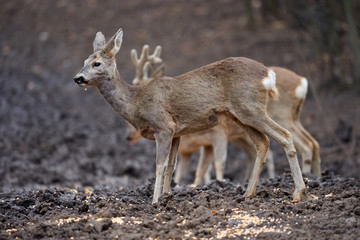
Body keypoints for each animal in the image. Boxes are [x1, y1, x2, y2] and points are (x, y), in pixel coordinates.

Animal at [74, 28, 306, 204]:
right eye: (84, 60)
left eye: (96, 63)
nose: (78, 77)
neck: (137, 102)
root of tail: (268, 74)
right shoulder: (177, 132)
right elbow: (172, 166)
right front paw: (167, 197)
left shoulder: (163, 126)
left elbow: (159, 166)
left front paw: (155, 201)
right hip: (241, 115)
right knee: (263, 143)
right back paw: (248, 193)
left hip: (250, 108)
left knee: (285, 136)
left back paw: (297, 192)